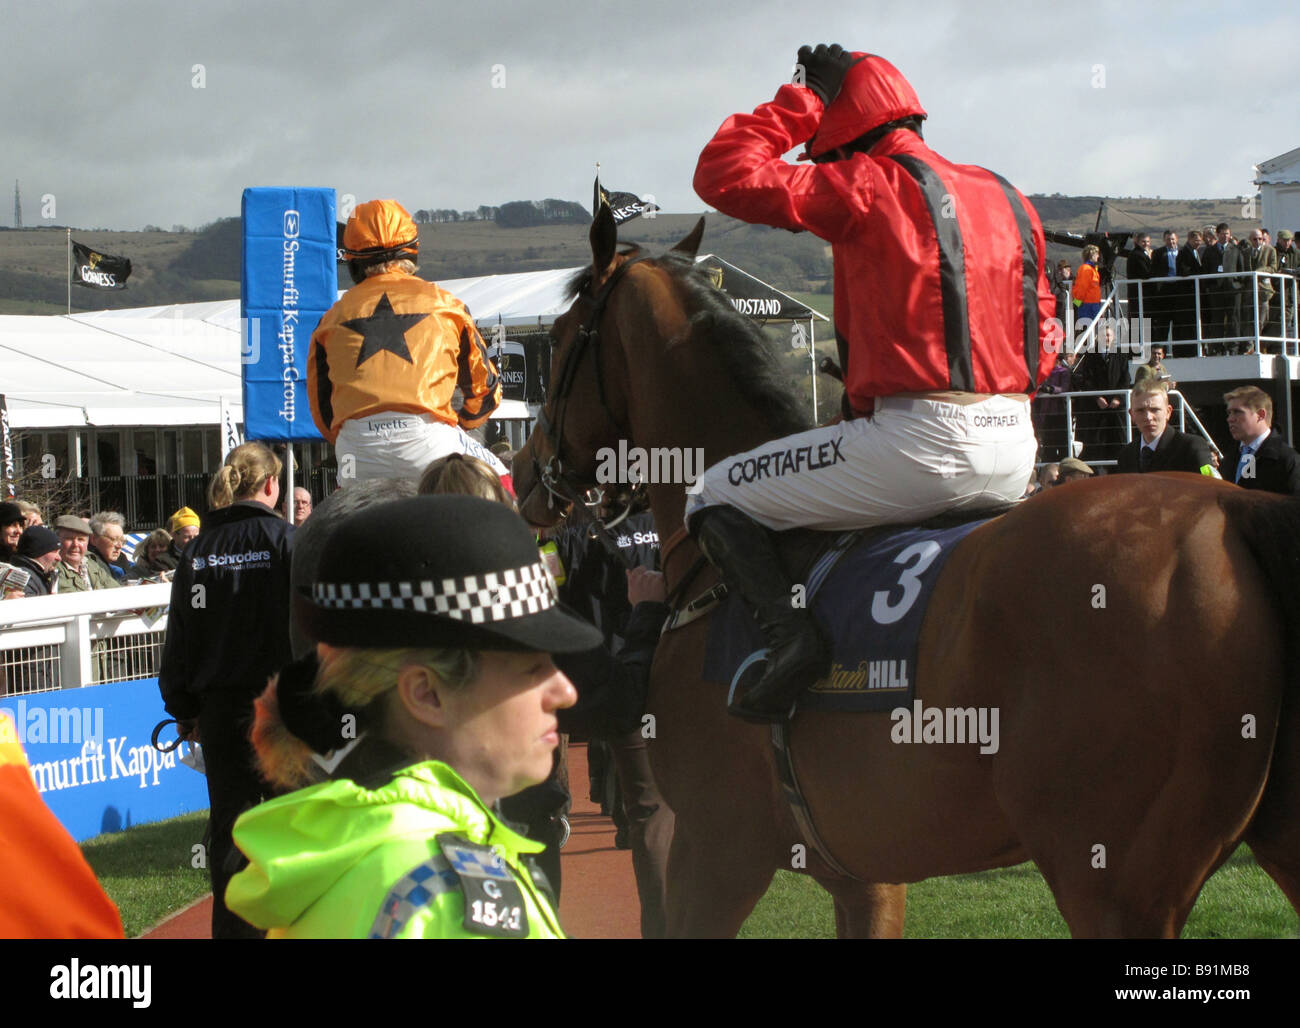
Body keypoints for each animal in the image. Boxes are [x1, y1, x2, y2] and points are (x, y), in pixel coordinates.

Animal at [509, 209, 1300, 940]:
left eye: (559, 340)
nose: (525, 468)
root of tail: (1234, 507)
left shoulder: (716, 846)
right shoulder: (866, 876)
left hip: (1109, 882)